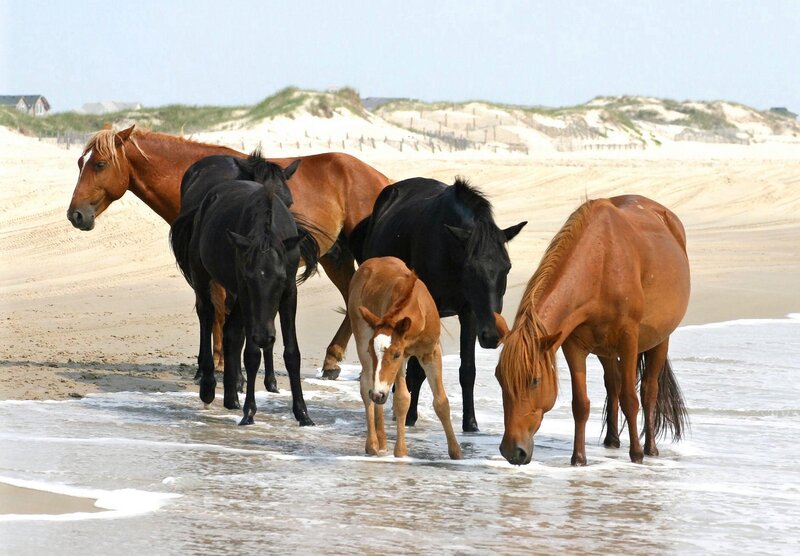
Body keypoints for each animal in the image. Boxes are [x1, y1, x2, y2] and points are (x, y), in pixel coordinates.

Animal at [66, 125, 392, 375]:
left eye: (99, 164)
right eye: (81, 163)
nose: (75, 215)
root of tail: (380, 178)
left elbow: (220, 309)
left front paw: (222, 361)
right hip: (335, 257)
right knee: (352, 298)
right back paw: (332, 360)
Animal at [172, 162, 319, 426]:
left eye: (280, 280)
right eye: (251, 280)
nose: (264, 336)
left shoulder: (289, 293)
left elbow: (292, 353)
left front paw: (303, 414)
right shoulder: (245, 292)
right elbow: (251, 353)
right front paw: (249, 412)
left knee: (231, 331)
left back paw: (231, 397)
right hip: (203, 275)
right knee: (207, 315)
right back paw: (209, 388)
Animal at [348, 257, 462, 459]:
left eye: (395, 354)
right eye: (372, 350)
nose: (378, 394)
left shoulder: (430, 353)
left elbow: (441, 401)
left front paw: (456, 452)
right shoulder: (401, 358)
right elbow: (402, 398)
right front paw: (401, 452)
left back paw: (382, 439)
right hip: (361, 336)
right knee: (366, 385)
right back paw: (373, 443)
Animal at [356, 177, 526, 432]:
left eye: (507, 267)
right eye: (471, 269)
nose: (492, 335)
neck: (448, 250)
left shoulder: (469, 313)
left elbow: (468, 369)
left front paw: (471, 423)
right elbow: (417, 370)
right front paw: (410, 416)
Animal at [495, 194, 690, 466]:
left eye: (535, 380)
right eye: (499, 378)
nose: (512, 451)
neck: (602, 264)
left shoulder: (629, 340)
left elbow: (631, 399)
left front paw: (636, 455)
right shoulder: (573, 345)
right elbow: (581, 404)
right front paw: (578, 458)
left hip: (660, 340)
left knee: (648, 391)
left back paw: (650, 448)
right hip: (605, 350)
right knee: (613, 384)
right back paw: (612, 441)